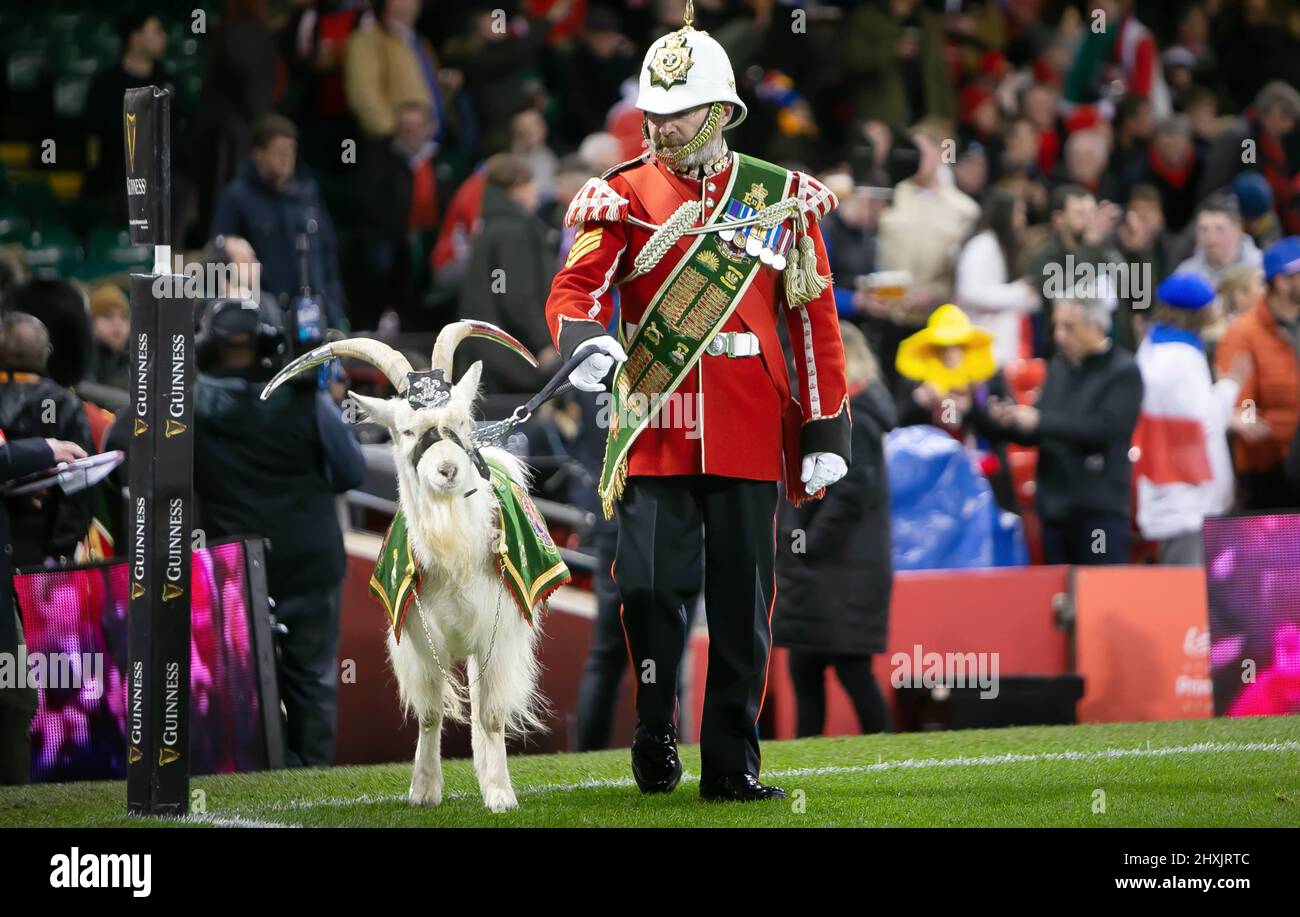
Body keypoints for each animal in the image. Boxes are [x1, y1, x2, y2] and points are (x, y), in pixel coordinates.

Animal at [263, 319, 548, 806]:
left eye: (459, 423)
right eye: (407, 432)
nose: (449, 470)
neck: (455, 556)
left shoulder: (498, 627)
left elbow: (490, 714)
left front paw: (499, 794)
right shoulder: (415, 632)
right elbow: (430, 713)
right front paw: (424, 789)